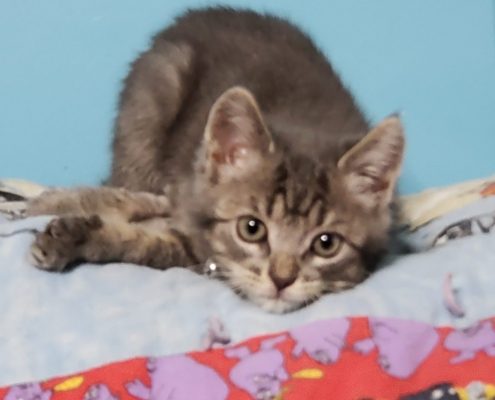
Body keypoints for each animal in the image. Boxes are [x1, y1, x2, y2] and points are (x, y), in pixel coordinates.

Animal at [27, 6, 404, 312]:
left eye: (327, 244)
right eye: (251, 228)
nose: (281, 280)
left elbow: (146, 243)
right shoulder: (187, 204)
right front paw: (66, 225)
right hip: (150, 105)